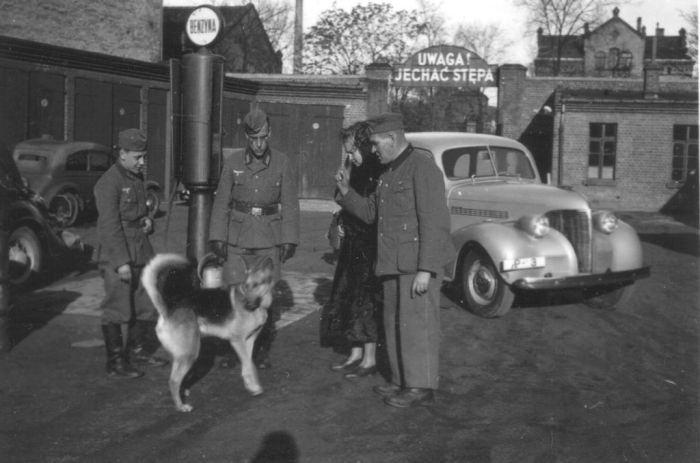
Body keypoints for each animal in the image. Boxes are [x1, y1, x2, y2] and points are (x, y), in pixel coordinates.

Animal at [141, 254, 274, 414]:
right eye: (246, 286)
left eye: (256, 285)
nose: (247, 305)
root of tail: (167, 311)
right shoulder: (238, 341)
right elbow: (249, 366)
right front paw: (254, 387)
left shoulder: (249, 342)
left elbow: (249, 365)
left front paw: (251, 385)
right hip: (189, 354)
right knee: (173, 381)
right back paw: (181, 406)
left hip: (185, 355)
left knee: (179, 379)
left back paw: (183, 393)